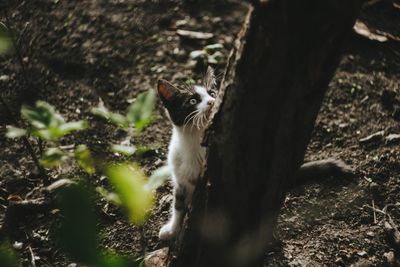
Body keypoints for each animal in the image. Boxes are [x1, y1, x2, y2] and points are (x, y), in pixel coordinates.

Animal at [157, 66, 219, 241]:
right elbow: (178, 205)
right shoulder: (180, 179)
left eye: (212, 93)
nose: (212, 102)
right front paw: (172, 230)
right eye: (193, 101)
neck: (194, 141)